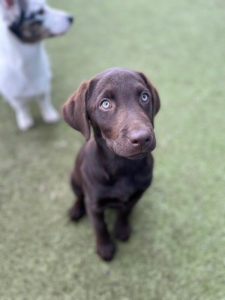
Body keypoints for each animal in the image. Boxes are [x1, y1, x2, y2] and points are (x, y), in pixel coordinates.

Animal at [0, 0, 72, 130]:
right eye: (40, 11)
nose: (71, 18)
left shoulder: (42, 83)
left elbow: (44, 100)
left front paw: (49, 115)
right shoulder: (13, 93)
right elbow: (22, 107)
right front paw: (25, 120)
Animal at [61, 67, 160, 260]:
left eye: (144, 96)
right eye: (105, 104)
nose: (142, 138)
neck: (122, 168)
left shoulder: (136, 195)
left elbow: (125, 212)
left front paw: (121, 230)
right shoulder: (94, 204)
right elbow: (99, 227)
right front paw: (105, 247)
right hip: (74, 179)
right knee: (79, 196)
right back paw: (76, 210)